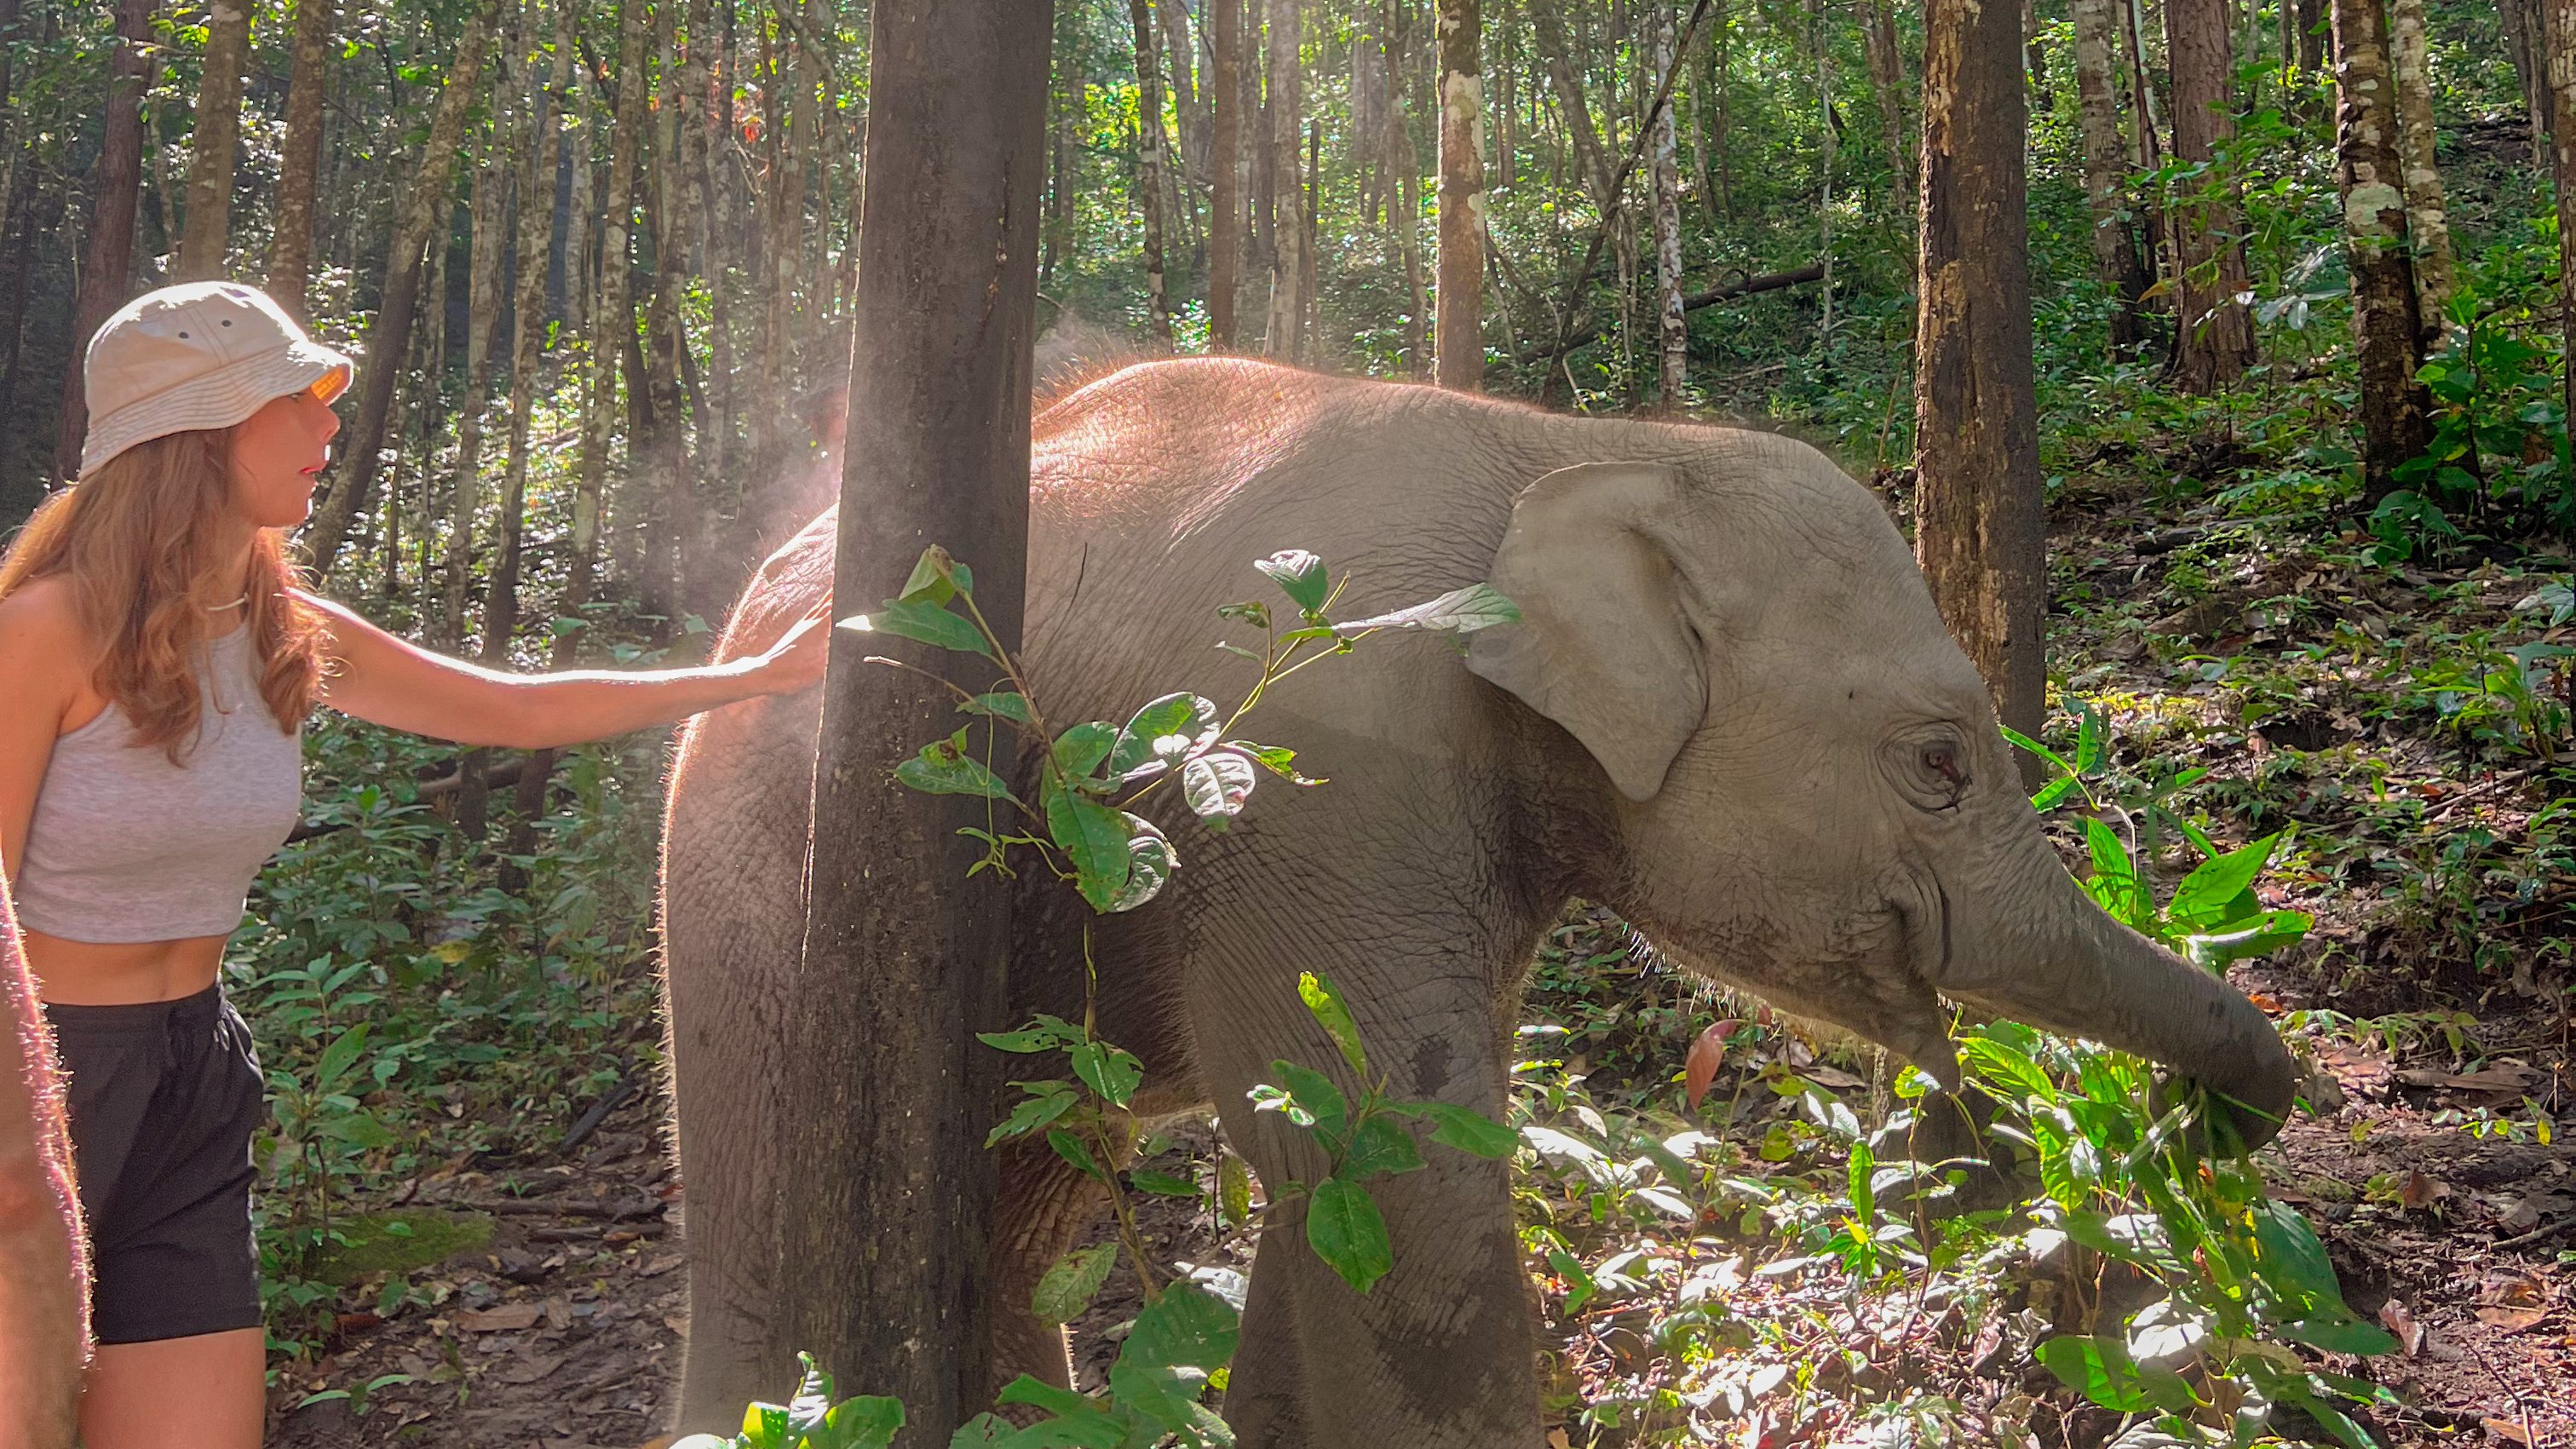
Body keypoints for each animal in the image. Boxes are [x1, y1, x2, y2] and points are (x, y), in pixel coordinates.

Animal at [658, 357, 2297, 1447]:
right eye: (1940, 761)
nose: (2207, 1127)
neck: (1577, 448)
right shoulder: (1328, 773)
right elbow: (1405, 1180)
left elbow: (1349, 1159)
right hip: (751, 859)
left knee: (1031, 1198)